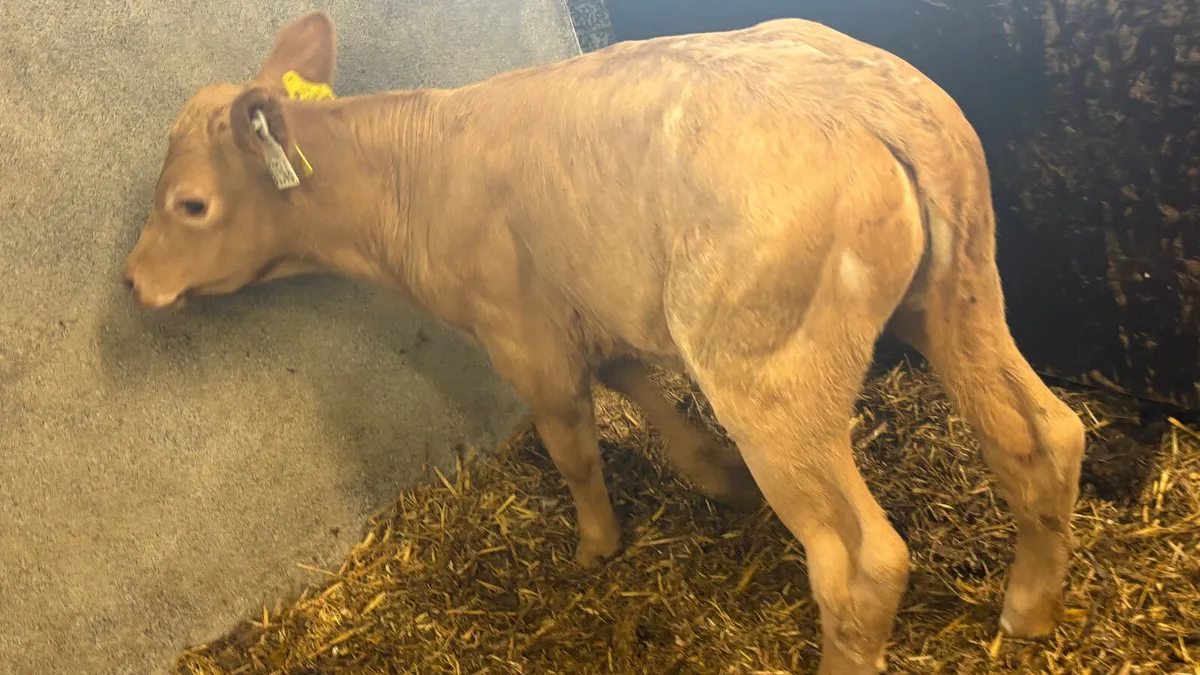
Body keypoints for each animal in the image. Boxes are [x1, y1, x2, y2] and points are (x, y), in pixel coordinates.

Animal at [121, 11, 1086, 673]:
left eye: (190, 204)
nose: (133, 281)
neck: (413, 174)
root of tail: (867, 98)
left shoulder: (520, 330)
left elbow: (574, 443)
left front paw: (594, 546)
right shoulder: (589, 303)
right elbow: (637, 384)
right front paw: (714, 476)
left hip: (767, 369)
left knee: (862, 560)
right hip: (961, 296)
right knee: (1044, 437)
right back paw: (1026, 611)